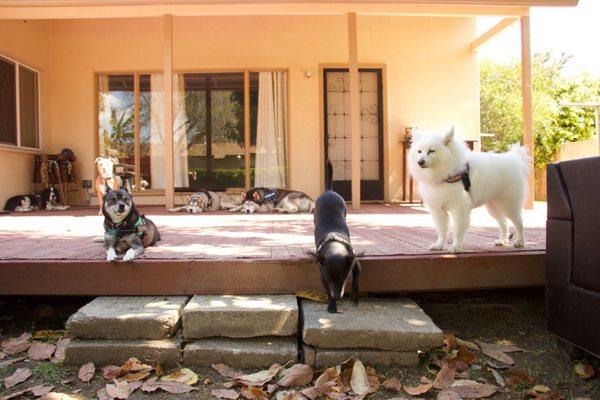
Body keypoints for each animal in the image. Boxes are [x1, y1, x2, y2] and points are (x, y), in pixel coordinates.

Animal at [310, 162, 360, 312]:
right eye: (329, 280)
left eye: (345, 278)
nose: (338, 297)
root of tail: (328, 191)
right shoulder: (322, 275)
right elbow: (327, 290)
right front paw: (332, 303)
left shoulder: (356, 265)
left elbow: (356, 281)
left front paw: (355, 297)